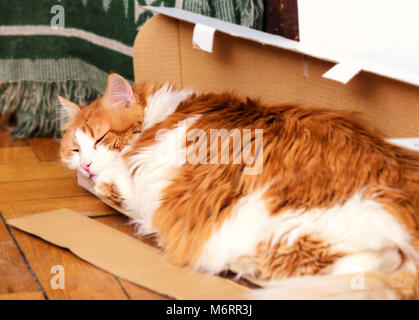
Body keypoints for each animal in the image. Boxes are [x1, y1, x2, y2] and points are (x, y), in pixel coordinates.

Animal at [58, 73, 419, 300]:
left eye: (101, 139)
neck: (160, 117)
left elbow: (110, 183)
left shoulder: (135, 180)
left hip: (285, 221)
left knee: (368, 266)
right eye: (75, 150)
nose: (86, 165)